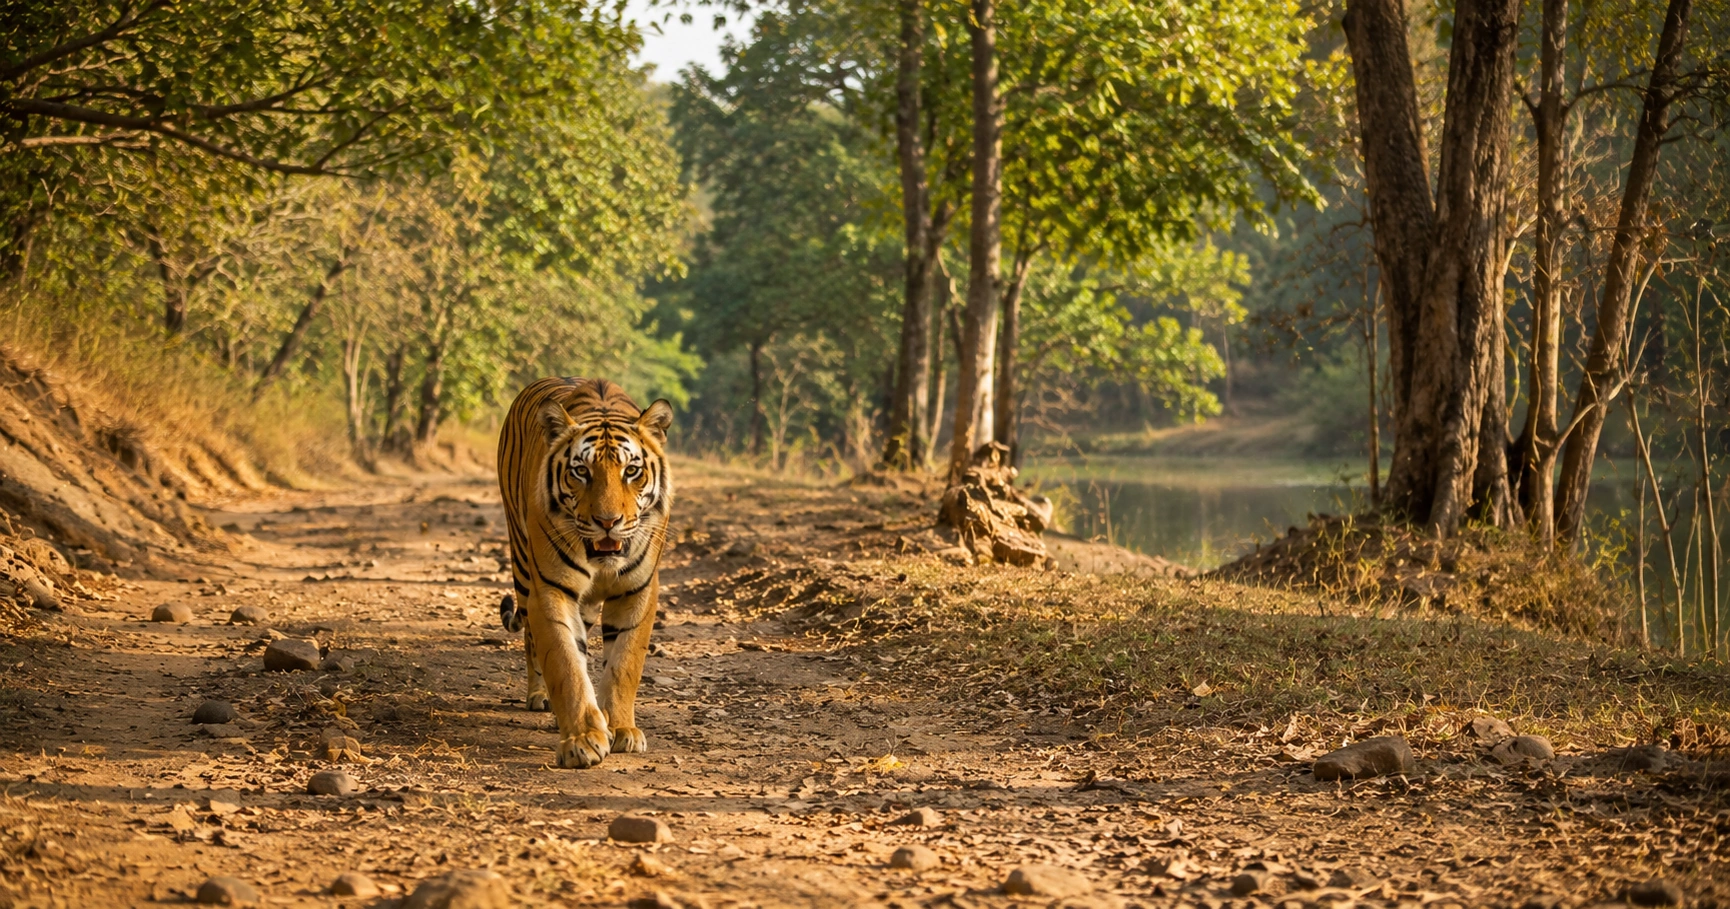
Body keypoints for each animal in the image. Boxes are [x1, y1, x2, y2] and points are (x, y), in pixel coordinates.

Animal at [496, 377, 674, 768]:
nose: (608, 522)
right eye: (581, 471)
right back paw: (539, 697)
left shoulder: (638, 590)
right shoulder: (551, 589)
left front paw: (621, 729)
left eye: (631, 471)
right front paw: (582, 740)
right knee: (530, 637)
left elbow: (624, 663)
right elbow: (565, 664)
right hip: (522, 563)